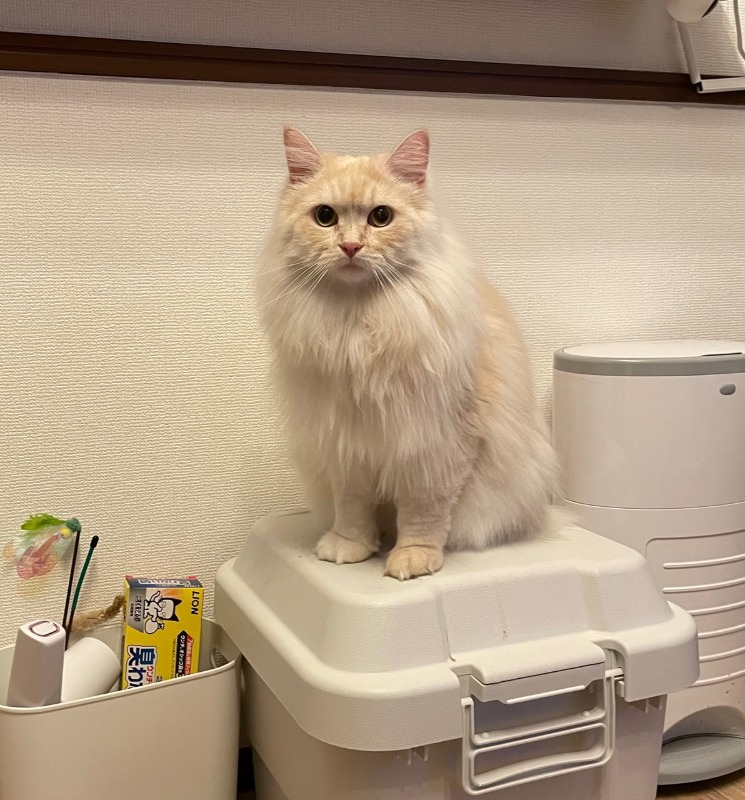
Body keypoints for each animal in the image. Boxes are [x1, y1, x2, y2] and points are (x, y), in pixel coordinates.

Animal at [256, 127, 559, 580]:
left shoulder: (435, 446)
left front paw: (413, 557)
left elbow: (423, 513)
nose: (350, 247)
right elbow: (352, 508)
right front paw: (350, 547)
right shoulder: (347, 444)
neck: (359, 324)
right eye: (325, 217)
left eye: (381, 217)